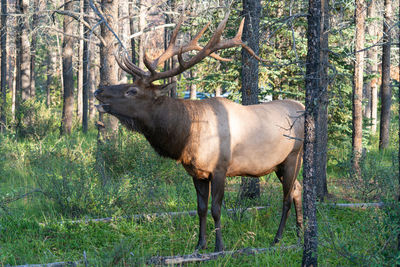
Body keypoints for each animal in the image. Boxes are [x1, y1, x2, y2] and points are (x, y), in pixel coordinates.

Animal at [96, 11, 304, 253]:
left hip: (292, 156)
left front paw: (219, 246)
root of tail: (302, 107)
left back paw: (278, 238)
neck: (186, 136)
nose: (99, 89)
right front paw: (200, 244)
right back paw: (300, 232)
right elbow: (201, 208)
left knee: (287, 196)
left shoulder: (221, 168)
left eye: (132, 90)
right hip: (279, 164)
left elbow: (216, 208)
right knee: (298, 188)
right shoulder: (197, 172)